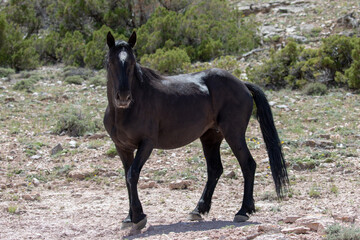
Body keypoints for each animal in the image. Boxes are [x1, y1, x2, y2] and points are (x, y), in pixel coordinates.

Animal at [102, 31, 288, 230]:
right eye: (110, 62)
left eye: (131, 63)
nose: (123, 97)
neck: (126, 111)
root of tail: (242, 84)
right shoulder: (123, 148)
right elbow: (127, 178)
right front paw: (129, 218)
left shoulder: (146, 144)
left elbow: (133, 175)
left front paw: (138, 217)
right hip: (210, 137)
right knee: (215, 169)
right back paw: (199, 209)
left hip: (234, 134)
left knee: (248, 164)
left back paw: (243, 211)